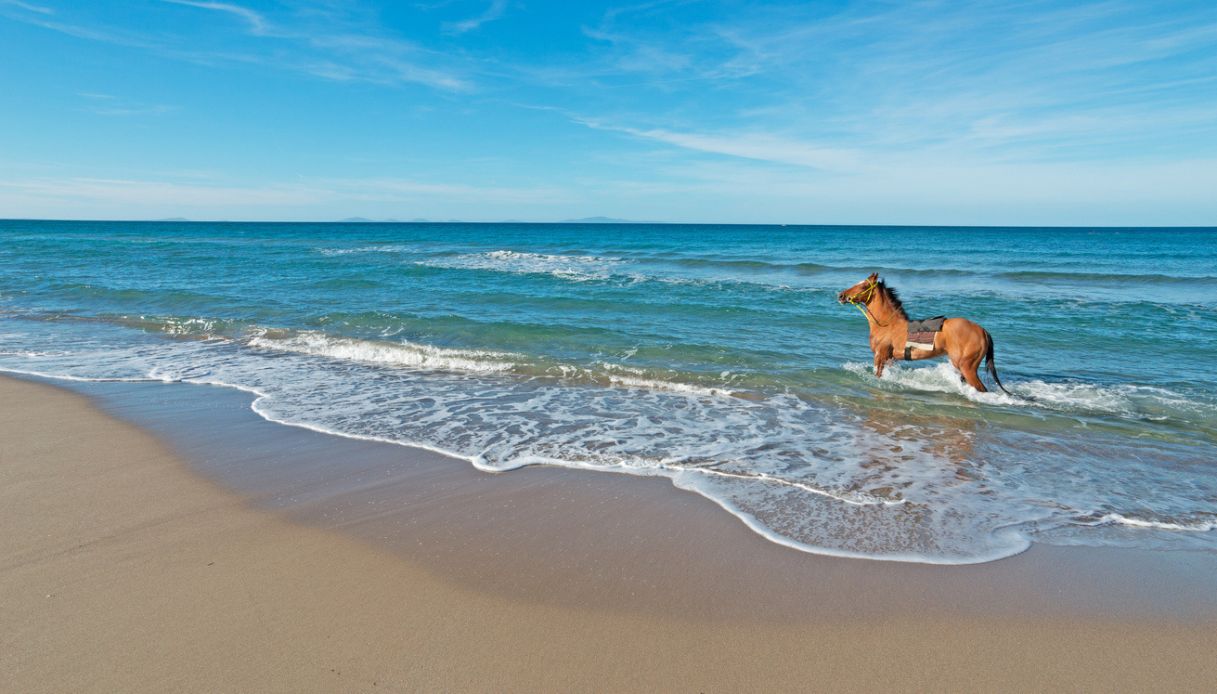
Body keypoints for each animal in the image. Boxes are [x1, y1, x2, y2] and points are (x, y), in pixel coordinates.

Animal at [837, 273, 1010, 393]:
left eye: (862, 286)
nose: (841, 295)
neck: (887, 325)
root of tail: (982, 330)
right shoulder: (890, 359)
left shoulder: (880, 355)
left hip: (967, 367)